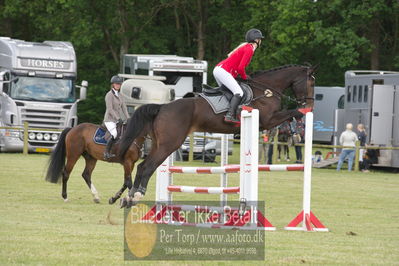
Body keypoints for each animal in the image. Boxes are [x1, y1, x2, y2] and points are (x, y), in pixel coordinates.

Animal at [117, 64, 318, 208]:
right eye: (311, 84)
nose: (311, 105)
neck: (267, 90)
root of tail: (162, 107)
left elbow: (290, 116)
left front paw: (294, 134)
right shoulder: (267, 120)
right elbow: (293, 113)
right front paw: (300, 119)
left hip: (160, 144)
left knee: (142, 166)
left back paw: (128, 199)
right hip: (169, 145)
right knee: (147, 166)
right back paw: (136, 196)